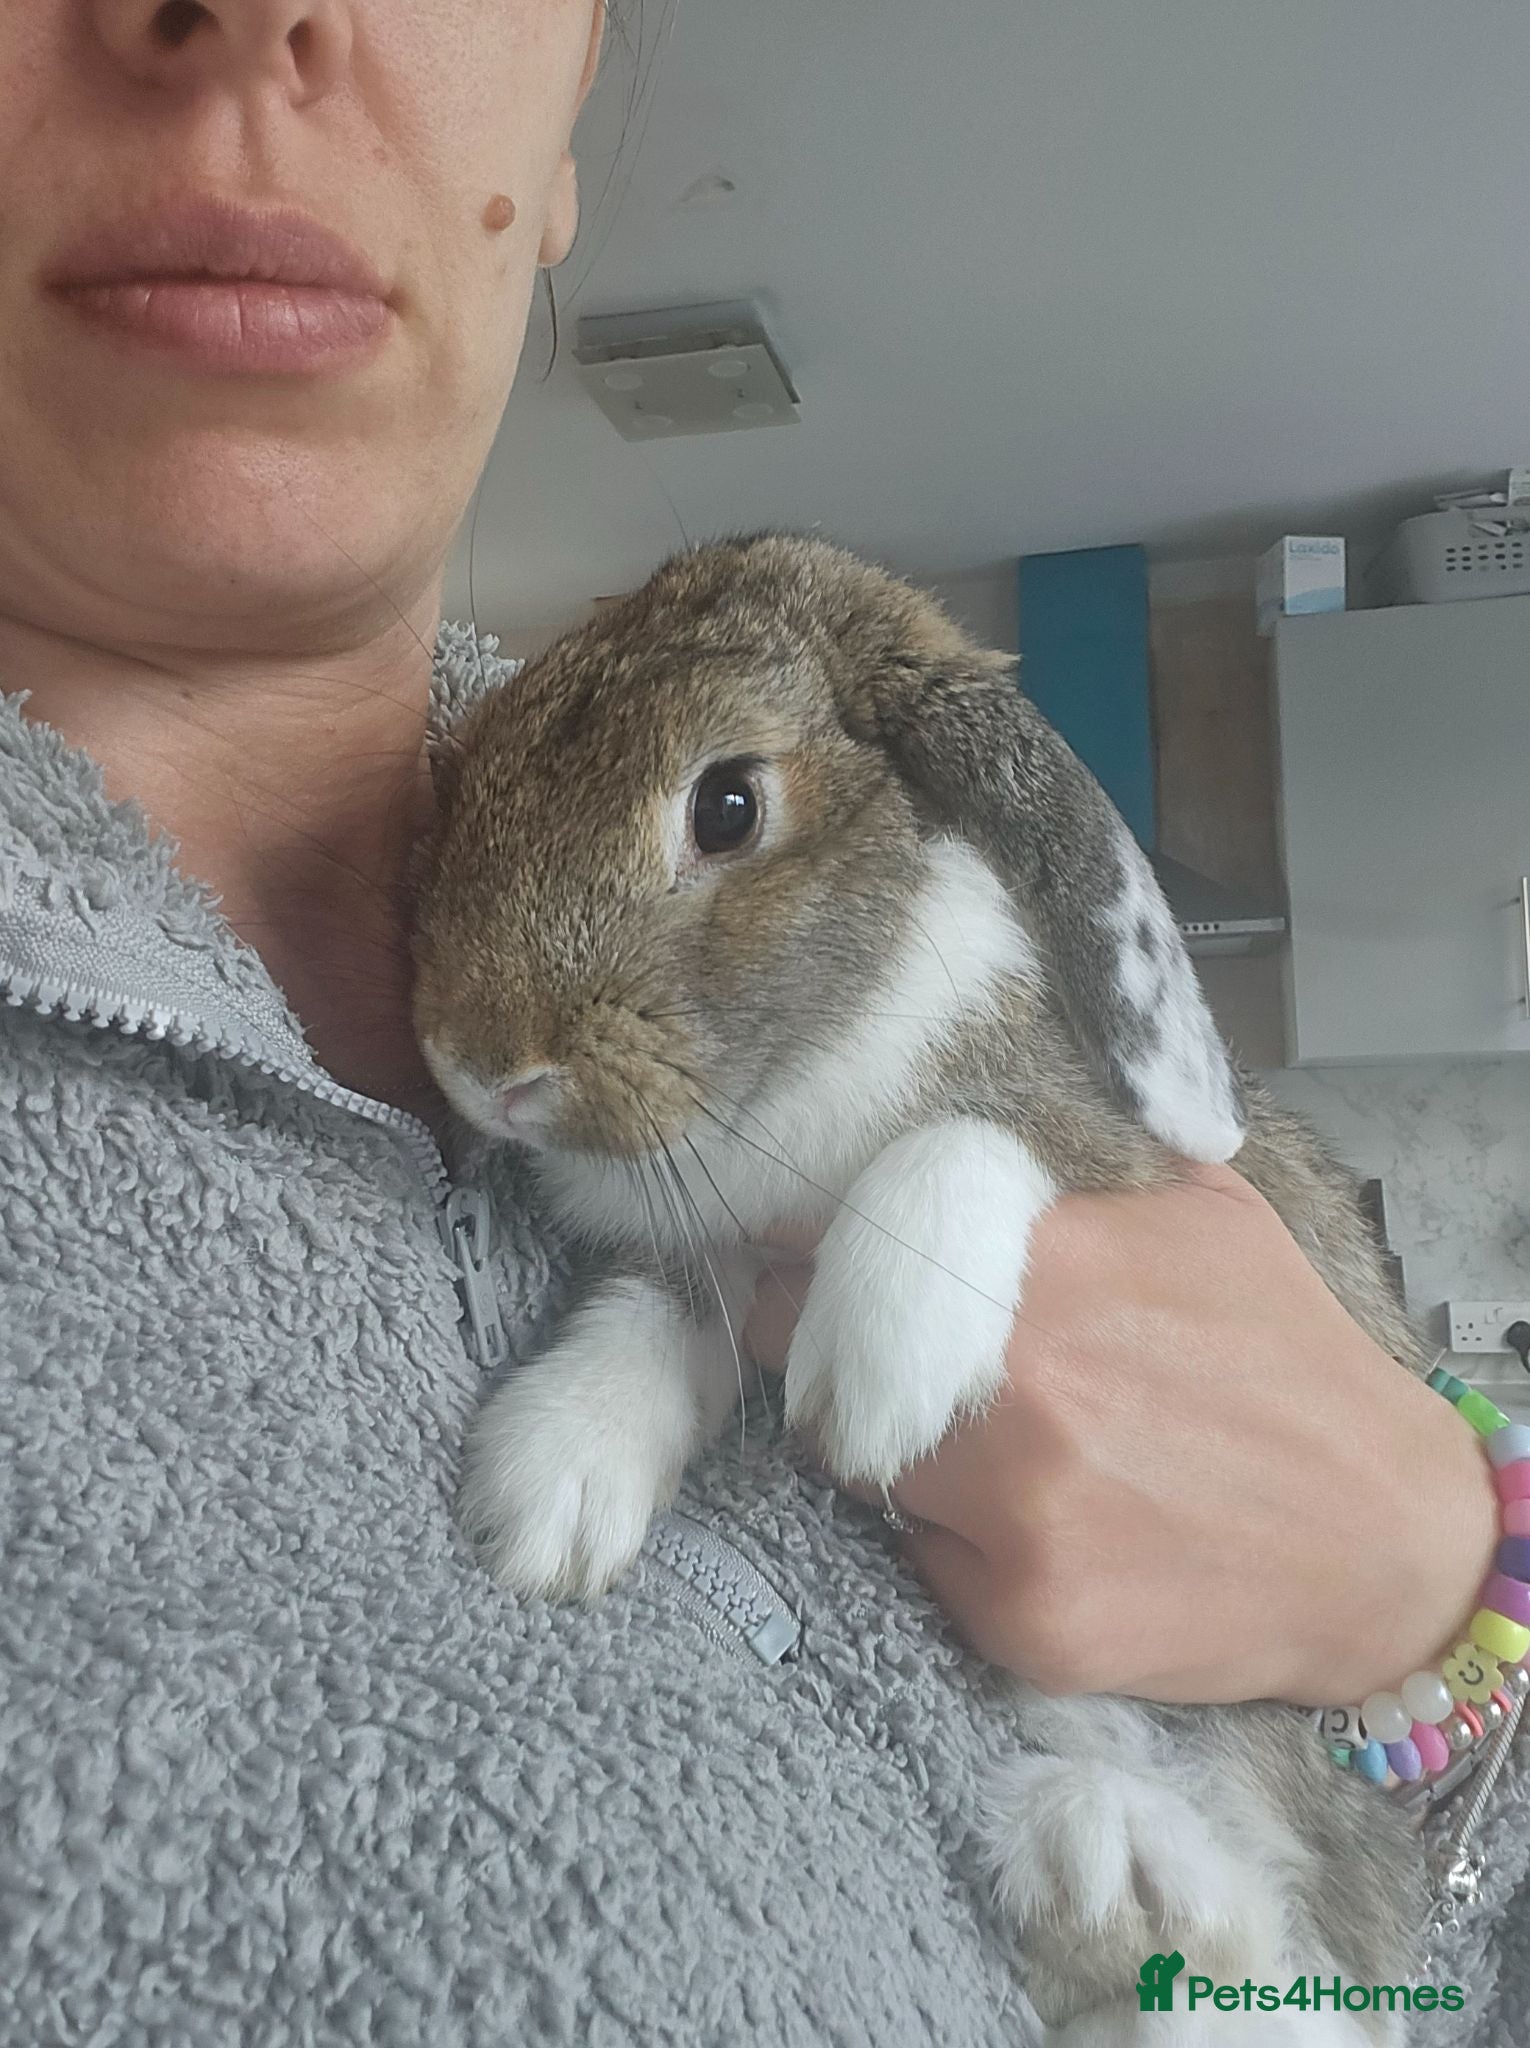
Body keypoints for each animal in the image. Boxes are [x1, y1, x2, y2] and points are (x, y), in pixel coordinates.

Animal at [411, 534, 1427, 2043]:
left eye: (727, 805)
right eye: (474, 772)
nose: (480, 1064)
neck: (808, 1060)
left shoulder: (1099, 1140)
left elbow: (979, 1128)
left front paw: (876, 1376)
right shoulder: (717, 1255)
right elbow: (653, 1318)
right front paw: (551, 1491)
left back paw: (1122, 1876)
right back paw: (1102, 1872)